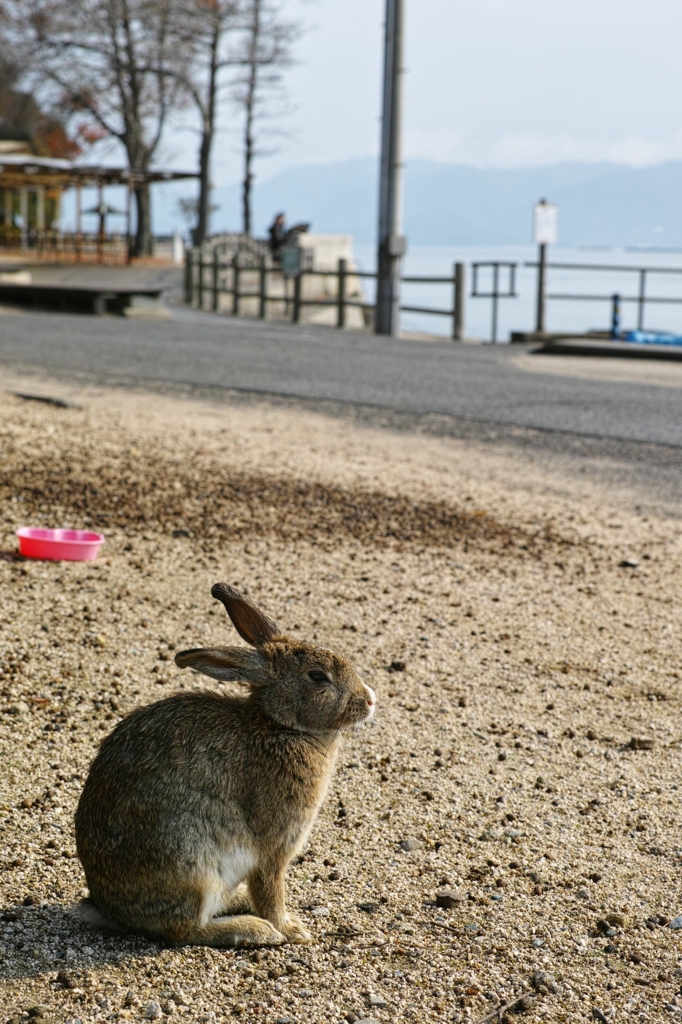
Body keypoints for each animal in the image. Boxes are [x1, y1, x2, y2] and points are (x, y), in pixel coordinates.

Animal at [75, 581, 376, 946]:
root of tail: (111, 910)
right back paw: (255, 929)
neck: (280, 726)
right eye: (317, 676)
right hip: (192, 864)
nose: (370, 700)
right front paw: (293, 930)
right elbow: (270, 889)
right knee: (185, 929)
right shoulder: (274, 848)